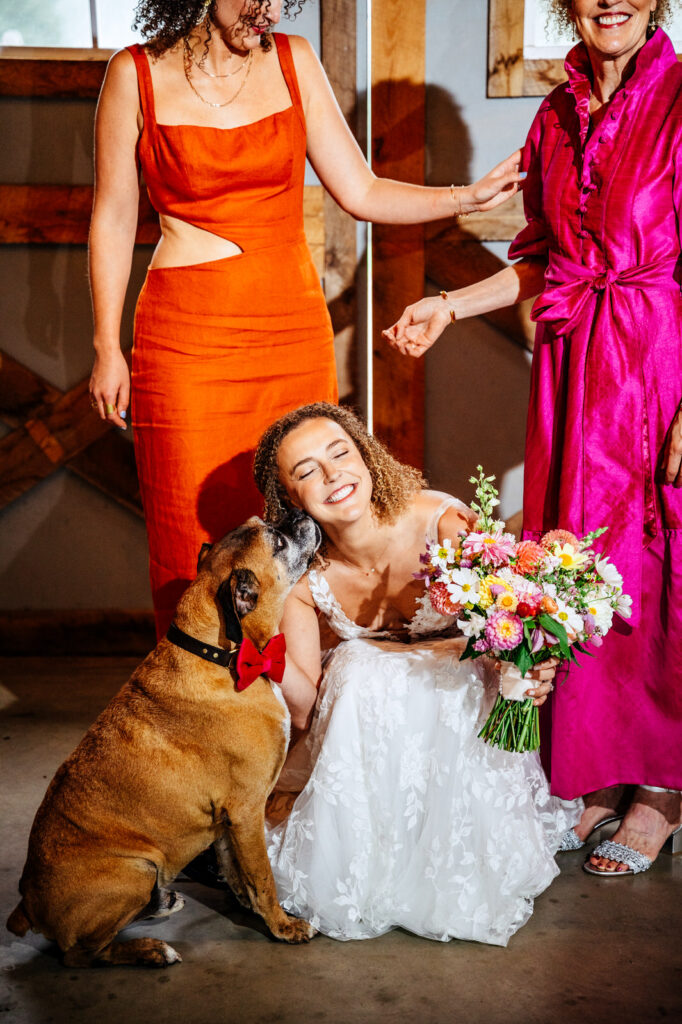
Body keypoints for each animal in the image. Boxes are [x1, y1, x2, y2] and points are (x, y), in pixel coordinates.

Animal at [6, 512, 319, 966]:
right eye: (277, 541)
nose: (298, 515)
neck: (221, 652)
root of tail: (27, 902)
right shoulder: (247, 810)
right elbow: (262, 875)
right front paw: (282, 925)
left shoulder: (227, 819)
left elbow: (236, 869)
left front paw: (249, 906)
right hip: (137, 868)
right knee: (83, 954)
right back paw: (150, 950)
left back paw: (161, 905)